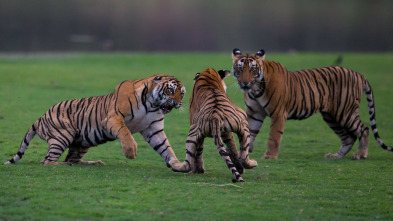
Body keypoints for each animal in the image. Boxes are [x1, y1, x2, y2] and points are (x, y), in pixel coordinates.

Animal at [3, 74, 185, 167]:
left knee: (73, 159)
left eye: (181, 93)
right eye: (171, 90)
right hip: (62, 136)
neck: (152, 105)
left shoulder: (153, 129)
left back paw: (95, 162)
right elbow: (125, 133)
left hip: (83, 141)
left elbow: (166, 148)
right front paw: (131, 152)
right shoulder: (112, 118)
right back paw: (64, 165)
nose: (178, 103)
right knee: (47, 161)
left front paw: (177, 164)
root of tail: (40, 118)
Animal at [231, 48, 390, 159]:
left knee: (364, 129)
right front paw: (244, 153)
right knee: (348, 137)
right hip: (331, 116)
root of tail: (358, 74)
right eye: (240, 68)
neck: (255, 89)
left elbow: (274, 137)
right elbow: (249, 132)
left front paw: (269, 156)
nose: (245, 82)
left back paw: (360, 154)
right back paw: (336, 156)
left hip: (345, 112)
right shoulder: (255, 113)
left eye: (252, 69)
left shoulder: (278, 113)